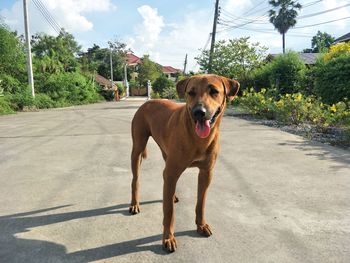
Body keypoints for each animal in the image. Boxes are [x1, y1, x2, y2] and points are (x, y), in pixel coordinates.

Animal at [130, 73, 239, 252]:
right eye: (191, 92)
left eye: (214, 91)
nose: (199, 112)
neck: (198, 139)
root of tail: (147, 102)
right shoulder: (172, 172)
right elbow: (169, 212)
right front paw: (168, 237)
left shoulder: (206, 173)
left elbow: (201, 203)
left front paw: (201, 225)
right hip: (137, 149)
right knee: (135, 180)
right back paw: (134, 204)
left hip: (166, 153)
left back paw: (172, 195)